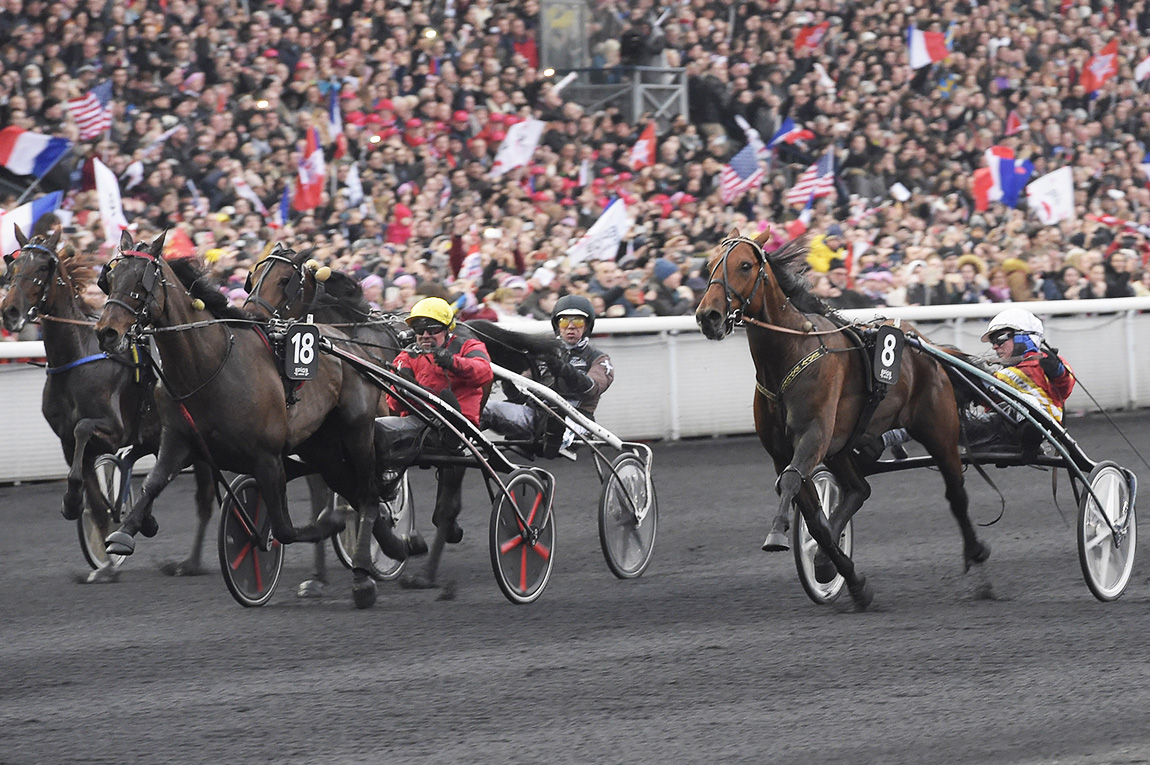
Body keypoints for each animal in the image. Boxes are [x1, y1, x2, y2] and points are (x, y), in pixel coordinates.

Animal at [0, 230, 216, 582]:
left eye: (44, 266)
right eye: (14, 264)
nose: (11, 311)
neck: (78, 358)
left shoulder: (113, 430)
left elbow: (84, 427)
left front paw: (75, 504)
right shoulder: (68, 442)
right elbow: (96, 500)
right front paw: (103, 556)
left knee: (205, 499)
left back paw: (192, 562)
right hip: (154, 436)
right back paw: (147, 521)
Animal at [93, 232, 418, 607]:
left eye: (140, 282)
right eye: (110, 278)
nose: (106, 332)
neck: (208, 366)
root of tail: (352, 346)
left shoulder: (267, 457)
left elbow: (284, 528)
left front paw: (329, 527)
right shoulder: (178, 441)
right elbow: (152, 484)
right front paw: (124, 533)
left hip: (357, 432)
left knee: (366, 494)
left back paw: (364, 575)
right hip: (321, 446)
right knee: (354, 489)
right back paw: (394, 546)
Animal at [690, 227, 989, 607]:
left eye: (744, 265)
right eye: (709, 265)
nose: (708, 316)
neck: (789, 355)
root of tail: (927, 345)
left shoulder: (813, 436)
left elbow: (791, 483)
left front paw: (777, 533)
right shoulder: (783, 452)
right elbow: (816, 521)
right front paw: (845, 576)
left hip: (938, 430)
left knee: (956, 494)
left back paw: (978, 558)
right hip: (843, 447)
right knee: (860, 488)